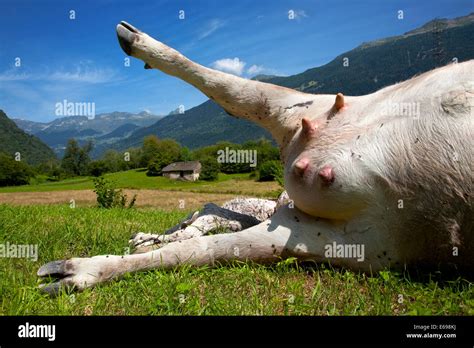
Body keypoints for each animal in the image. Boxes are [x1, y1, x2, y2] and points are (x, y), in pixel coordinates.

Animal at [39, 21, 472, 294]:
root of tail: (301, 151)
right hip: (313, 114)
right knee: (234, 90)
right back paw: (136, 41)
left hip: (353, 239)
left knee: (202, 249)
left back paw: (79, 270)